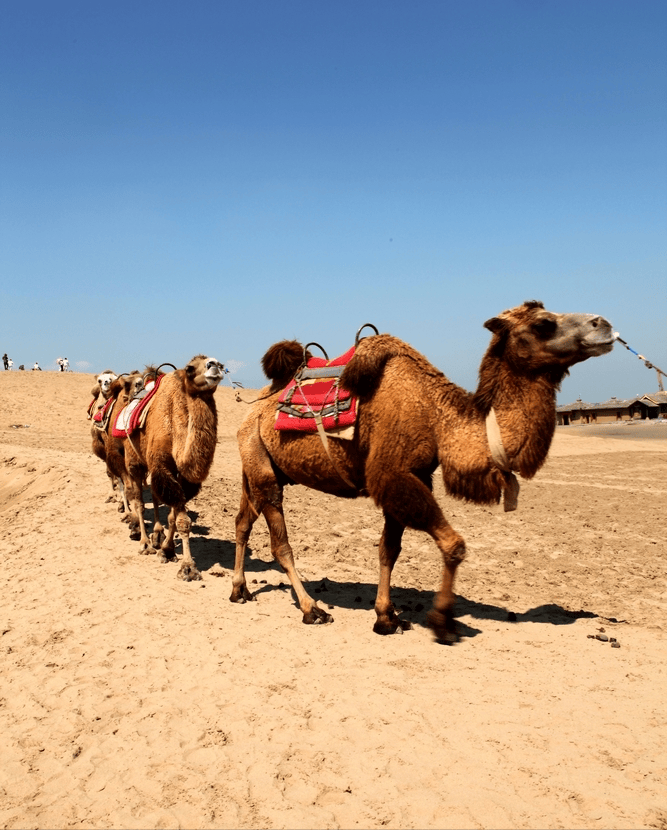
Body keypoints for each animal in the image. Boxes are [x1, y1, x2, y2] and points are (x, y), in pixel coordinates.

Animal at [117, 354, 224, 580]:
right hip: (134, 460)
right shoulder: (162, 465)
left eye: (222, 365)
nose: (216, 366)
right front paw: (188, 567)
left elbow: (173, 516)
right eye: (190, 368)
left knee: (154, 497)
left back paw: (156, 537)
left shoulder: (181, 476)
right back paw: (145, 543)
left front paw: (167, 549)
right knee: (138, 500)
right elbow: (182, 519)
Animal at [231, 302, 616, 648]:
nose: (605, 324)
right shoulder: (394, 475)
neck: (437, 417)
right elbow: (454, 545)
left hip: (260, 466)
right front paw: (442, 622)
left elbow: (389, 549)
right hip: (262, 467)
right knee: (281, 543)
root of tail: (256, 408)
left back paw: (239, 590)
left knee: (243, 521)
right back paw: (312, 609)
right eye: (543, 323)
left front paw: (386, 618)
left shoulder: (412, 475)